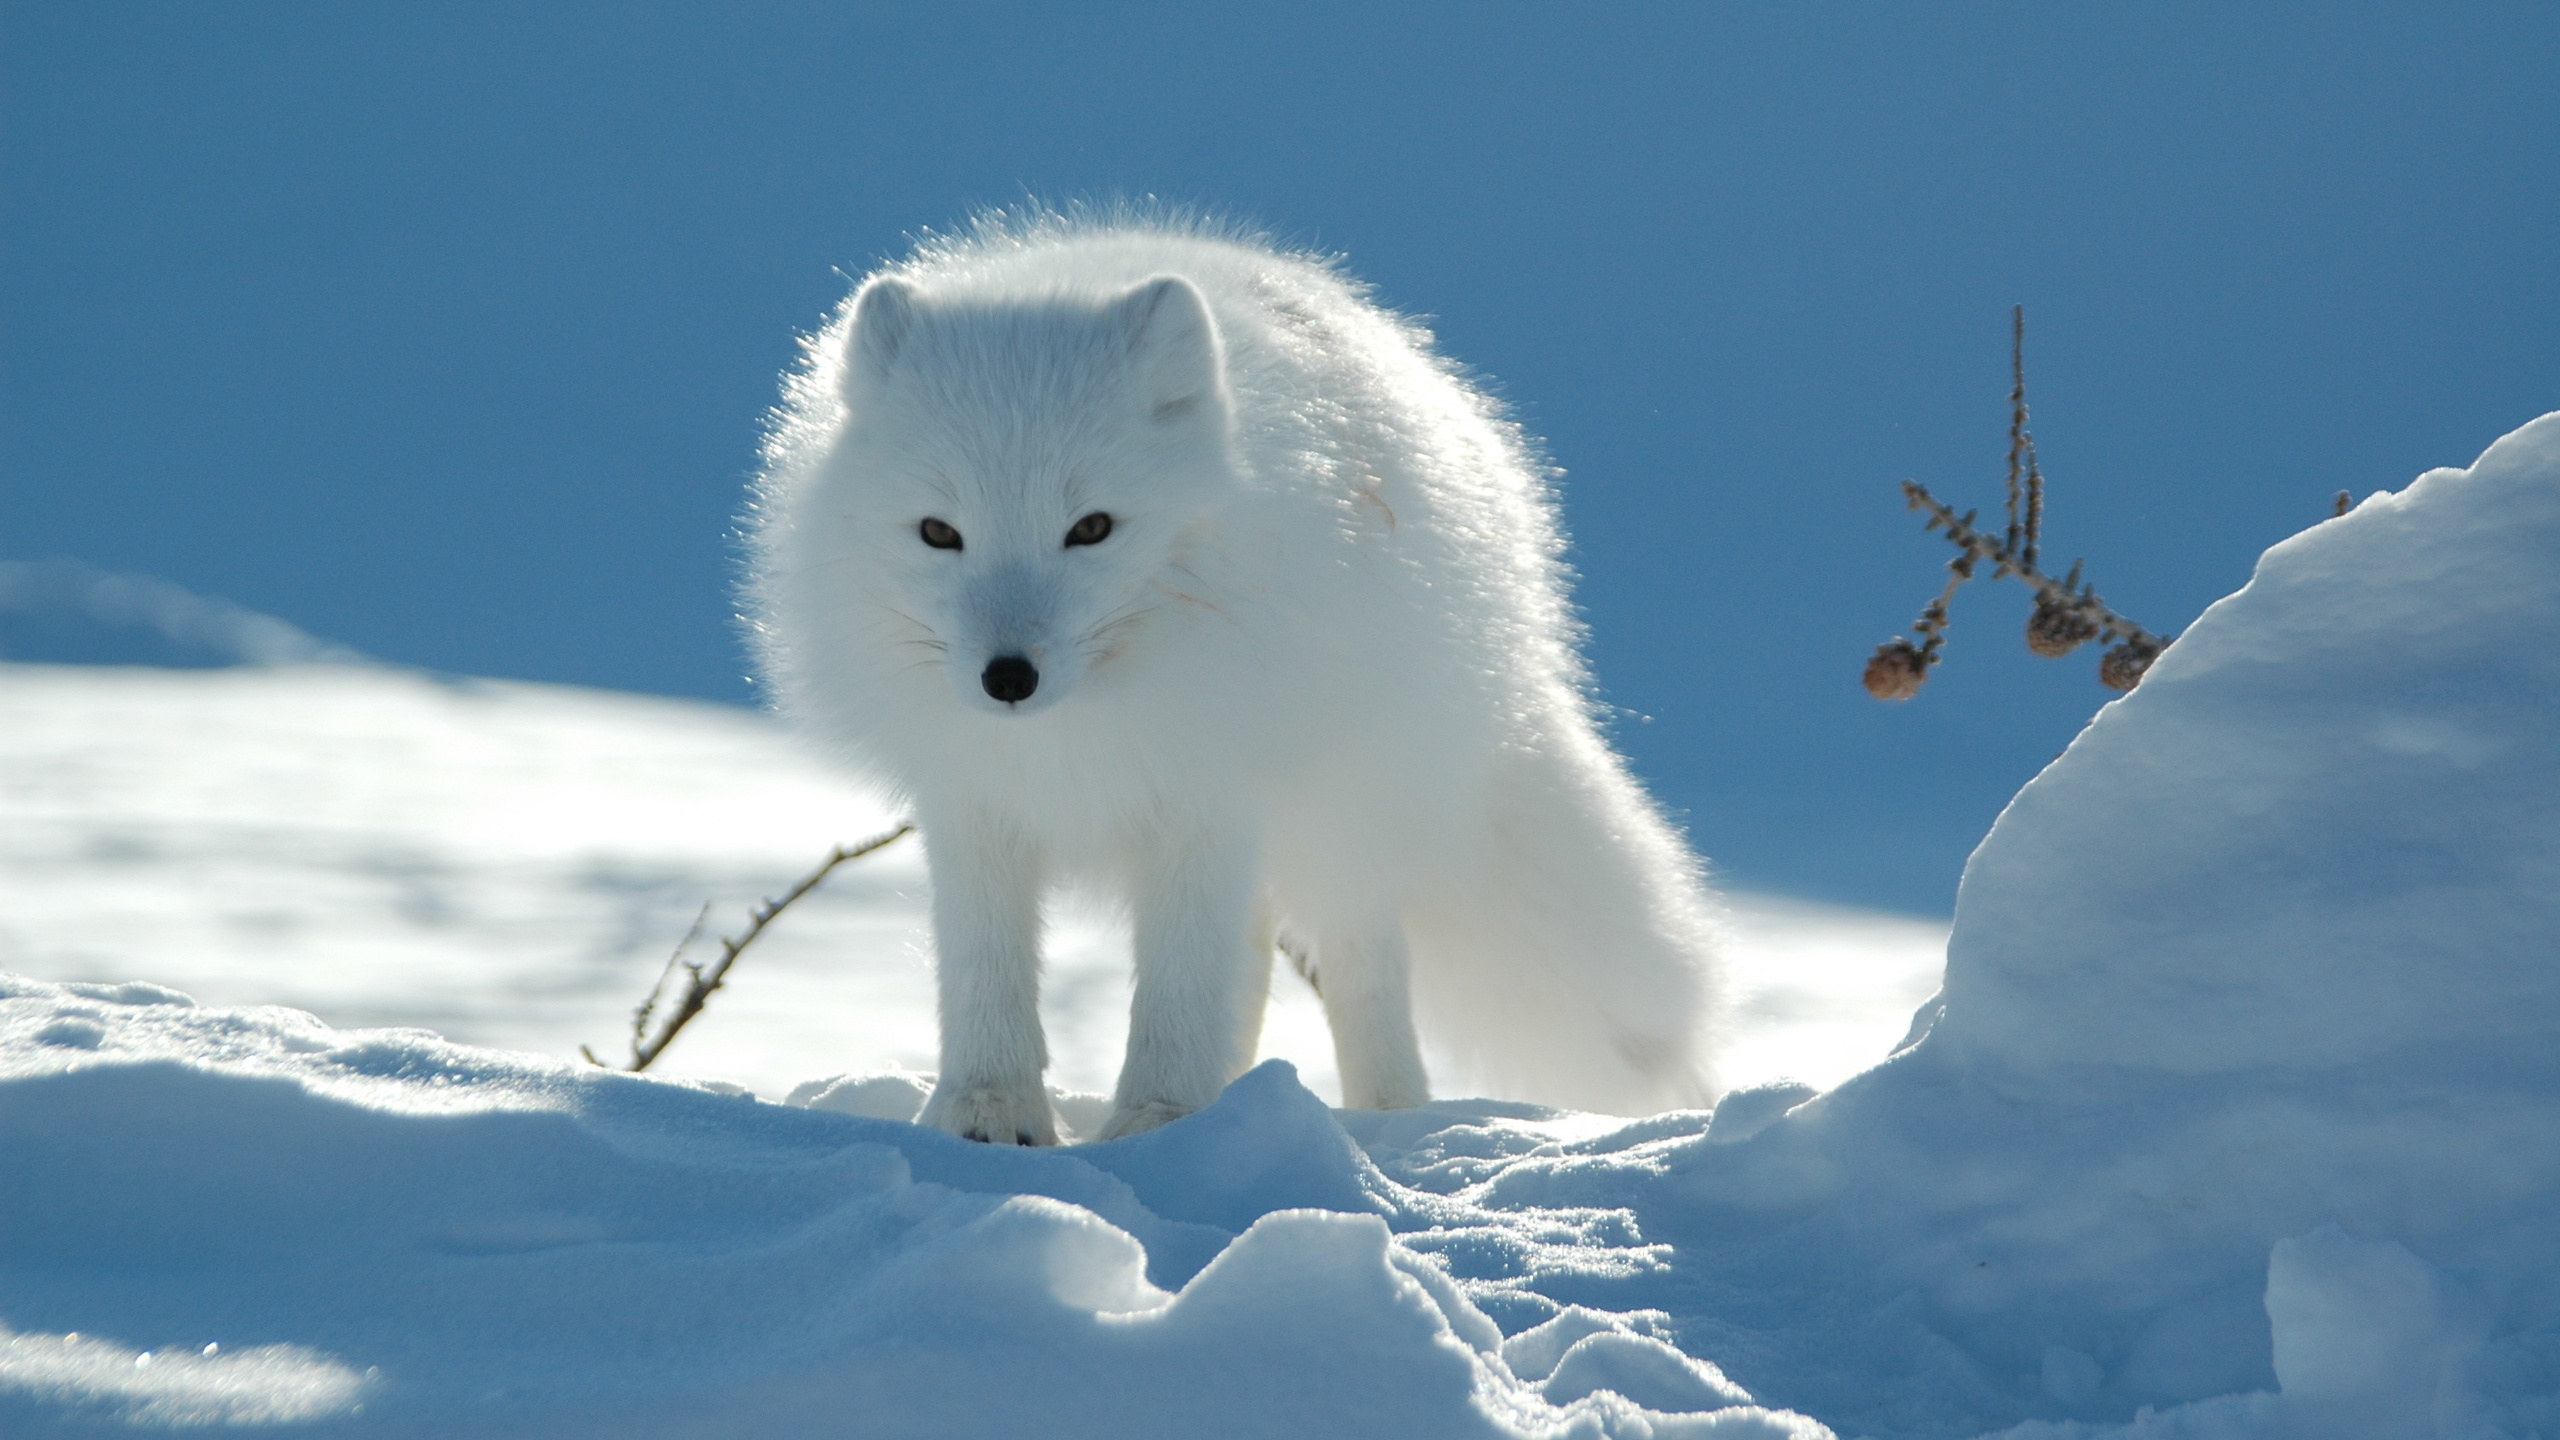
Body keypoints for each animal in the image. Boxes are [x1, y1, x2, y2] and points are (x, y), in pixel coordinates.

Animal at [747, 212, 1730, 1137]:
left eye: (1091, 528)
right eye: (938, 533)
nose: (1007, 679)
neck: (1077, 732)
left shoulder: (1208, 793)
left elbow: (1181, 986)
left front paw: (1159, 1121)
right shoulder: (972, 801)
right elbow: (985, 971)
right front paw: (988, 1114)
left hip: (1345, 815)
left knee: (1360, 965)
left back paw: (1386, 1120)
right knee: (1252, 962)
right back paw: (1239, 1096)